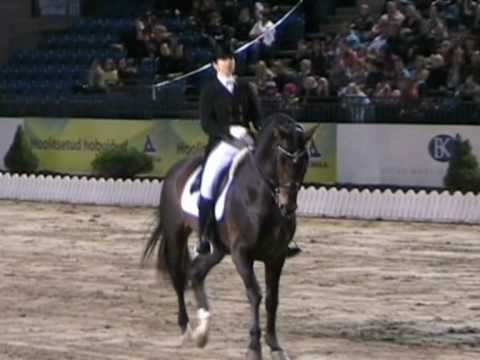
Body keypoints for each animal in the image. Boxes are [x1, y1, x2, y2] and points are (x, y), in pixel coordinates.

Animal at [141, 114, 316, 358]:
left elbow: (272, 299)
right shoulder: (241, 254)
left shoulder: (276, 257)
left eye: (305, 161)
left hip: (217, 249)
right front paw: (253, 347)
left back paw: (203, 331)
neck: (260, 197)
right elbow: (255, 294)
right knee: (179, 277)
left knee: (196, 272)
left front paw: (275, 346)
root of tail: (175, 169)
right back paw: (187, 330)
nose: (288, 207)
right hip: (176, 235)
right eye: (282, 160)